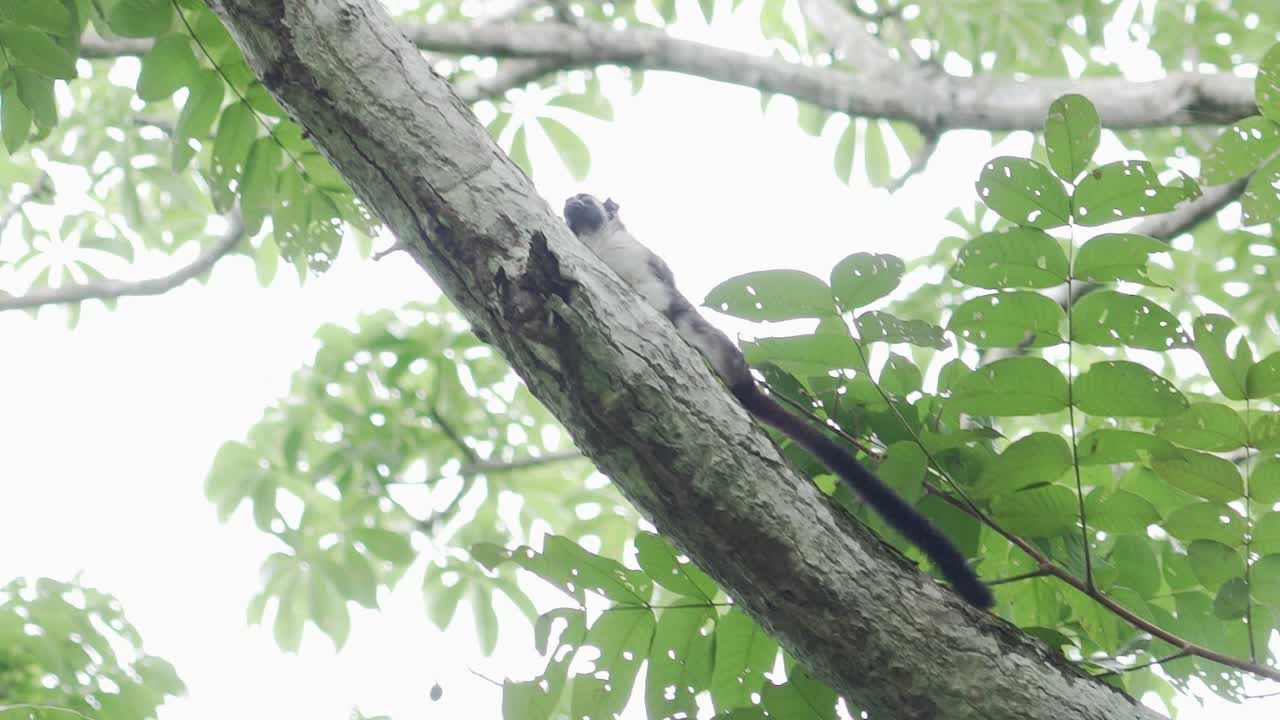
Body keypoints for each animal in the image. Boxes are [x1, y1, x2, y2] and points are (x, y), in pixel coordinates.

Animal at [562, 193, 994, 610]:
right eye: (571, 199)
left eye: (584, 197)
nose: (571, 202)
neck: (599, 242)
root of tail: (744, 381)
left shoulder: (639, 256)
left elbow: (659, 290)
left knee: (690, 321)